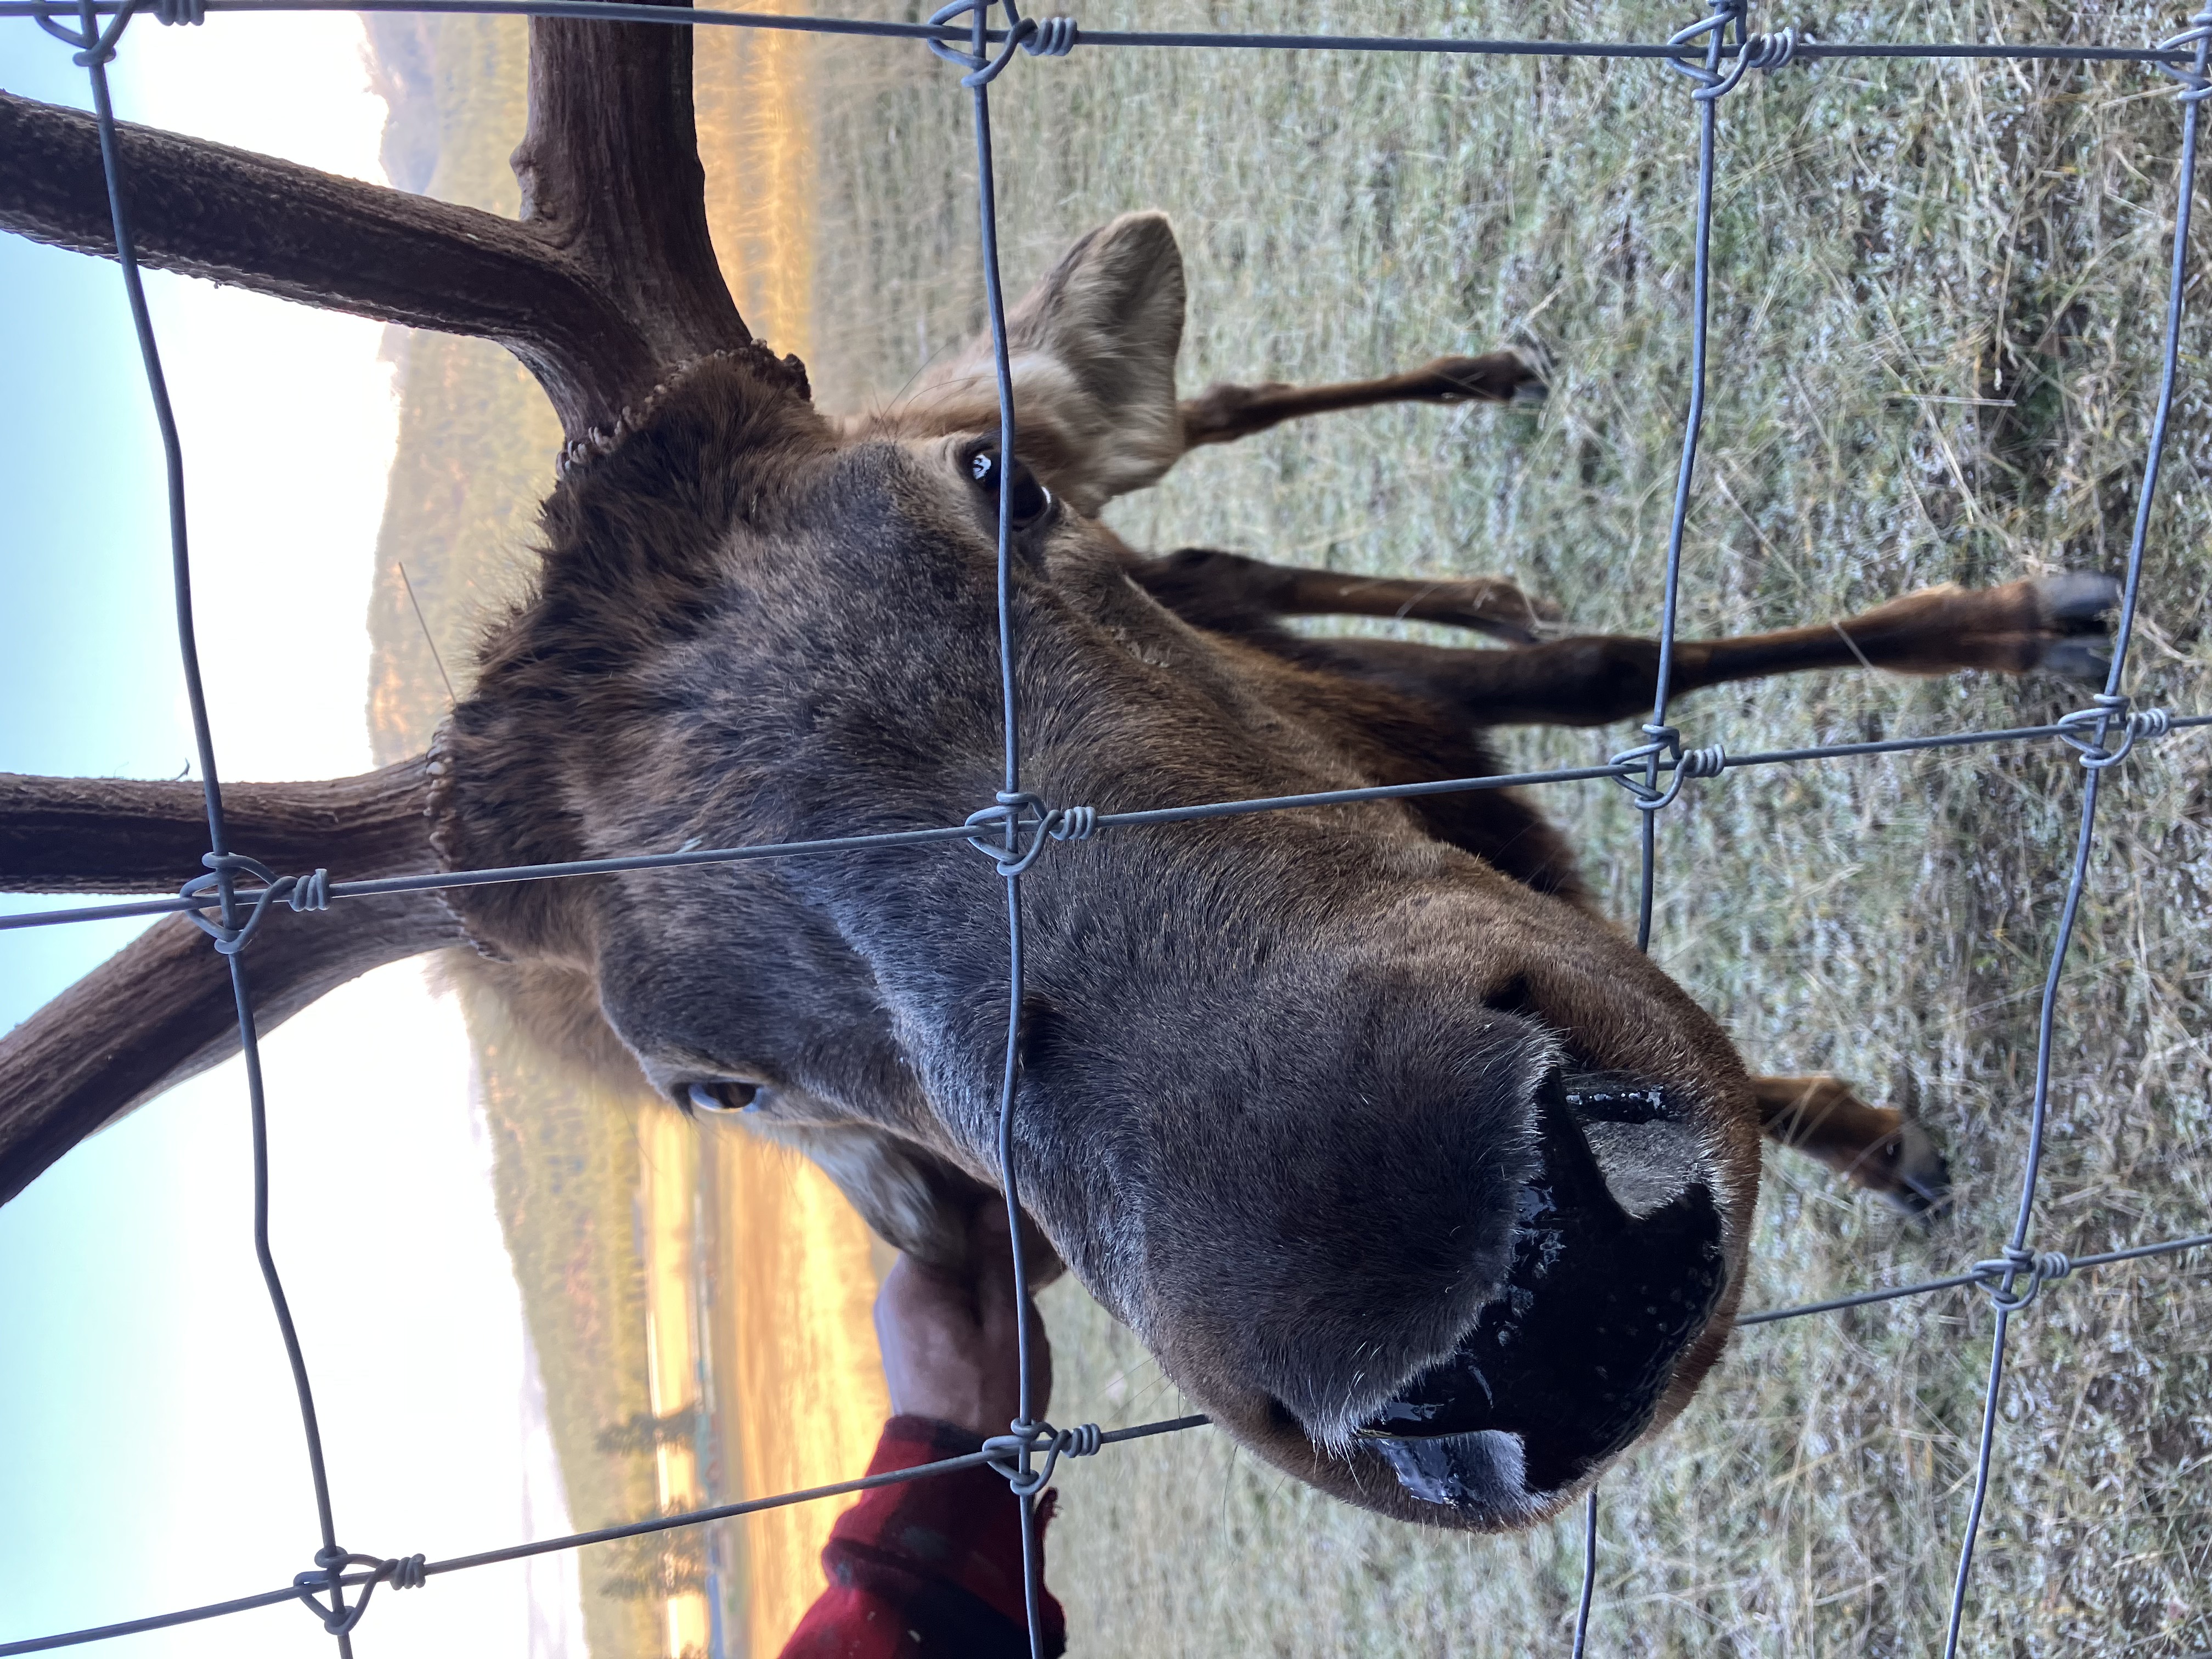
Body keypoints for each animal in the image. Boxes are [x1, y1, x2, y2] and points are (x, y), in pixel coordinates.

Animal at [0, 3, 2121, 1531]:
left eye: (990, 485)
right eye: (707, 1078)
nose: (1512, 1296)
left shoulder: (1369, 699)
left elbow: (1613, 673)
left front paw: (2019, 624)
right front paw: (1865, 1125)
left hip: (1142, 424)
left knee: (1225, 420)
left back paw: (1485, 395)